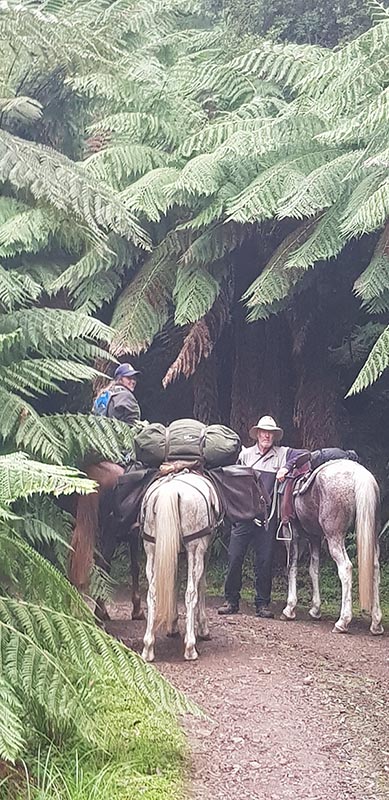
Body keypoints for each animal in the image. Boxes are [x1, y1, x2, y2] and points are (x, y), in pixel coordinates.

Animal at [139, 468, 220, 664]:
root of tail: (171, 489)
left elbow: (173, 583)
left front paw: (172, 625)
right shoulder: (204, 551)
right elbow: (201, 586)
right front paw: (203, 629)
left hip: (152, 549)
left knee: (152, 593)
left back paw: (148, 648)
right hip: (194, 548)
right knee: (191, 593)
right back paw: (190, 648)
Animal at [280, 460, 384, 636]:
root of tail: (359, 474)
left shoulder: (291, 533)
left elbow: (291, 567)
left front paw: (289, 609)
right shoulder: (314, 537)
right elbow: (313, 569)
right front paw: (315, 610)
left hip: (334, 537)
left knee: (346, 568)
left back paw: (343, 622)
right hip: (371, 536)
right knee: (375, 569)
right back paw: (376, 623)